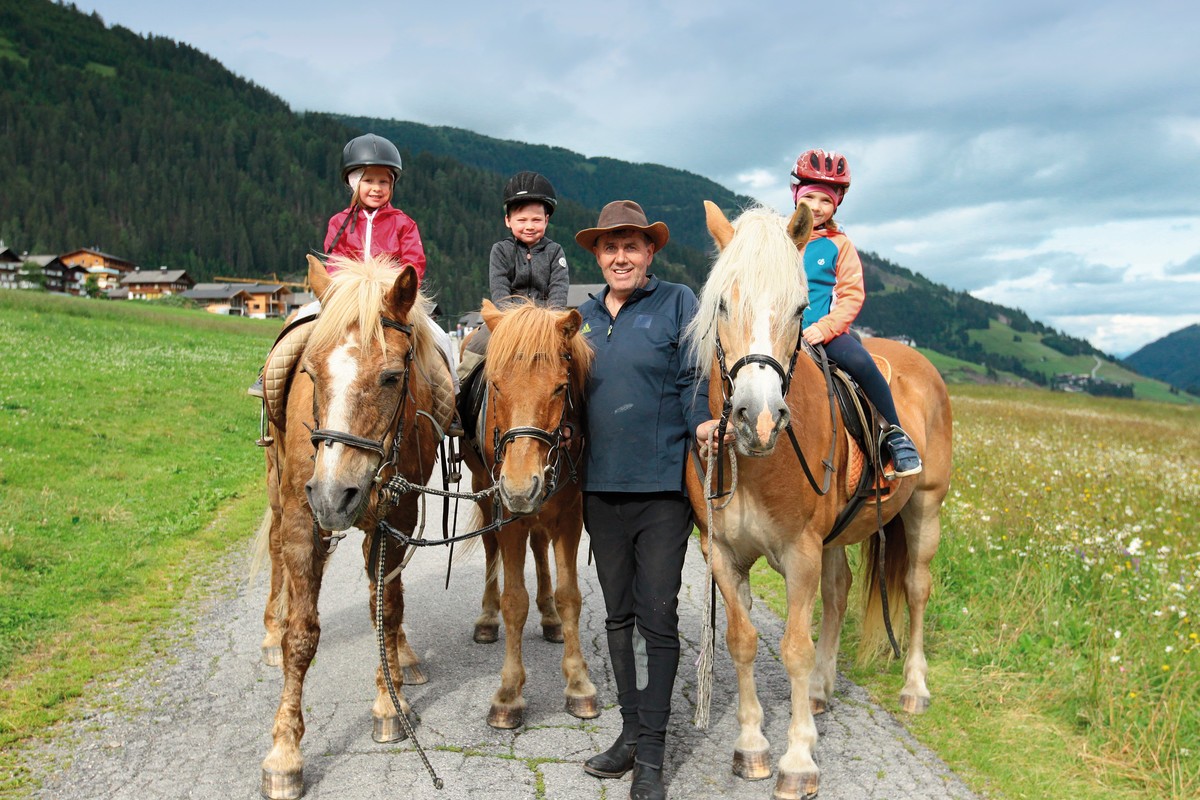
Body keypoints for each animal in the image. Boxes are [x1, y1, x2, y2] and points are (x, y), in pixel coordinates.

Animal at [260, 255, 448, 800]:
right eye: (310, 371)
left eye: (391, 377)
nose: (332, 494)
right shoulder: (302, 522)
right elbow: (302, 636)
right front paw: (285, 751)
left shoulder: (396, 520)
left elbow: (386, 607)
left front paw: (390, 703)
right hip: (277, 490)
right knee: (276, 555)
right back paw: (269, 631)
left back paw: (404, 656)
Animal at [458, 299, 600, 734]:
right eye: (496, 385)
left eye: (559, 387)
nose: (522, 487)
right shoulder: (508, 514)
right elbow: (514, 601)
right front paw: (508, 693)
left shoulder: (571, 515)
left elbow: (570, 596)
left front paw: (578, 683)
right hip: (483, 489)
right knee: (490, 549)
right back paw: (487, 619)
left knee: (539, 545)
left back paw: (550, 617)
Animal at [686, 205, 955, 800]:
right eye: (722, 303)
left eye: (800, 307)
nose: (758, 418)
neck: (758, 464)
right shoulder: (722, 555)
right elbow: (742, 640)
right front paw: (753, 746)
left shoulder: (801, 553)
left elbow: (794, 648)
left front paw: (798, 759)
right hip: (837, 537)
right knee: (839, 593)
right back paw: (819, 690)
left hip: (924, 510)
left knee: (915, 590)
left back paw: (915, 687)